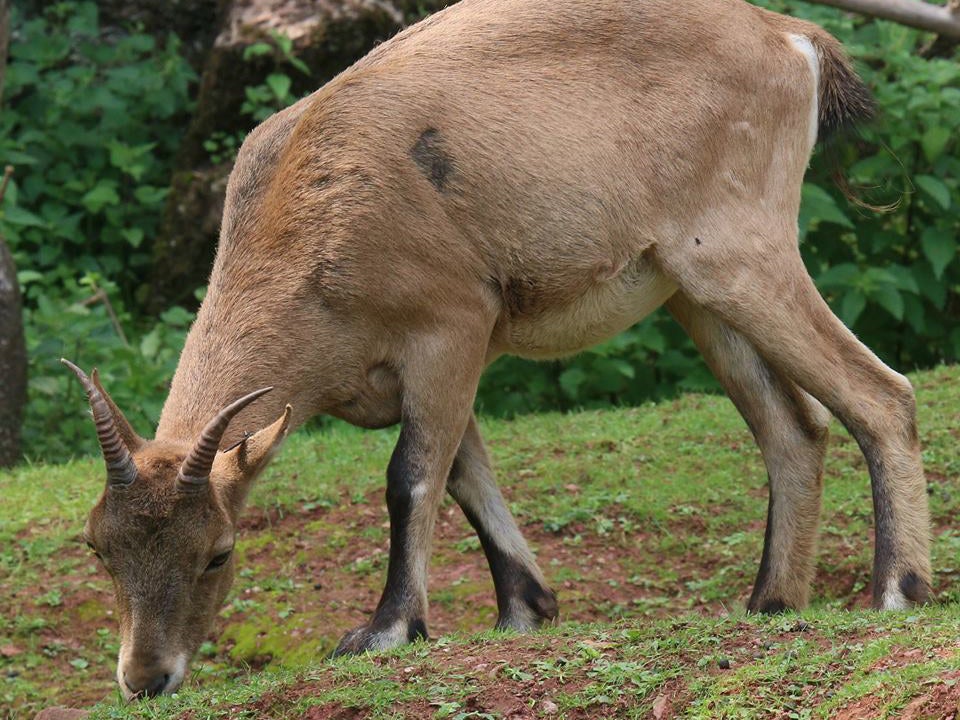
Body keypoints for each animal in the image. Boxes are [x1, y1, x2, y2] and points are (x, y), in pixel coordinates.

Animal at [62, 0, 928, 700]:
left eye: (217, 552)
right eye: (101, 548)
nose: (146, 679)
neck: (315, 211)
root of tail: (791, 39)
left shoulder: (450, 327)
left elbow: (411, 477)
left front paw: (386, 630)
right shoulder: (416, 375)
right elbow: (463, 471)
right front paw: (525, 609)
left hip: (739, 251)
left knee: (881, 392)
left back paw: (897, 591)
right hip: (691, 292)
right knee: (795, 428)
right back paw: (769, 605)